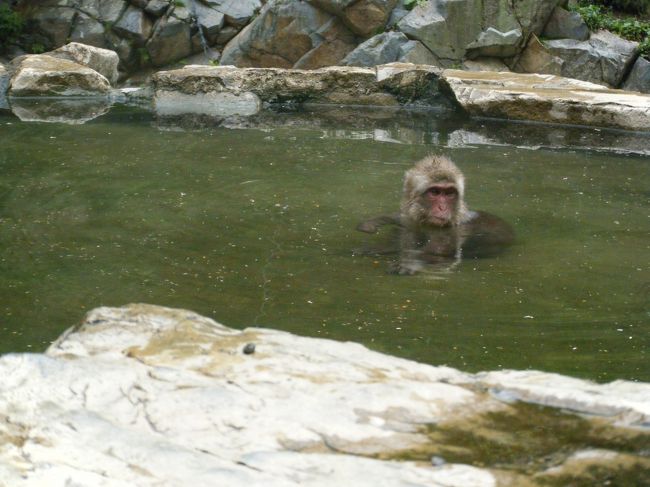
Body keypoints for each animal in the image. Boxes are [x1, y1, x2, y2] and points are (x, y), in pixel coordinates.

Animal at [354, 155, 512, 274]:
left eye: (449, 193)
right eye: (435, 192)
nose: (442, 207)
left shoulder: (458, 227)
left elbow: (440, 247)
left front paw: (411, 261)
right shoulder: (411, 219)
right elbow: (403, 222)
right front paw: (373, 223)